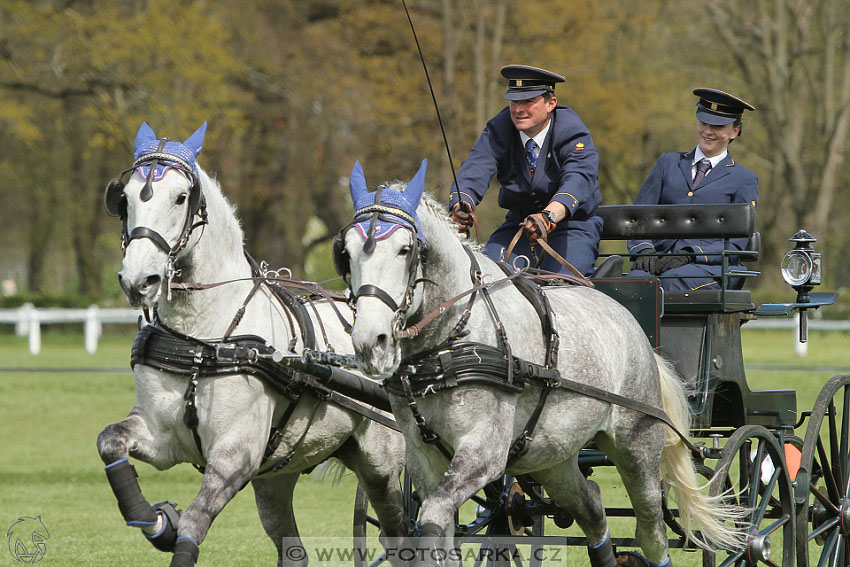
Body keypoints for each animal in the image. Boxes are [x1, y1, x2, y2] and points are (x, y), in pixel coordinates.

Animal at [96, 124, 408, 567]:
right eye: (125, 198)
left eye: (180, 197)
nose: (139, 280)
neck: (203, 341)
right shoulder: (162, 436)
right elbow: (110, 441)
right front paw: (156, 521)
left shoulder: (235, 454)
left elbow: (194, 522)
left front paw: (172, 525)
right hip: (276, 474)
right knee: (293, 551)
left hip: (380, 466)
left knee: (400, 531)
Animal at [338, 160, 744, 567]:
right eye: (347, 251)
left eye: (405, 250)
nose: (369, 341)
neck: (449, 343)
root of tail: (632, 325)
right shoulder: (424, 458)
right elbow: (431, 528)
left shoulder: (485, 450)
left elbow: (434, 515)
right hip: (554, 457)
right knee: (592, 508)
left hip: (637, 448)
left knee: (651, 531)